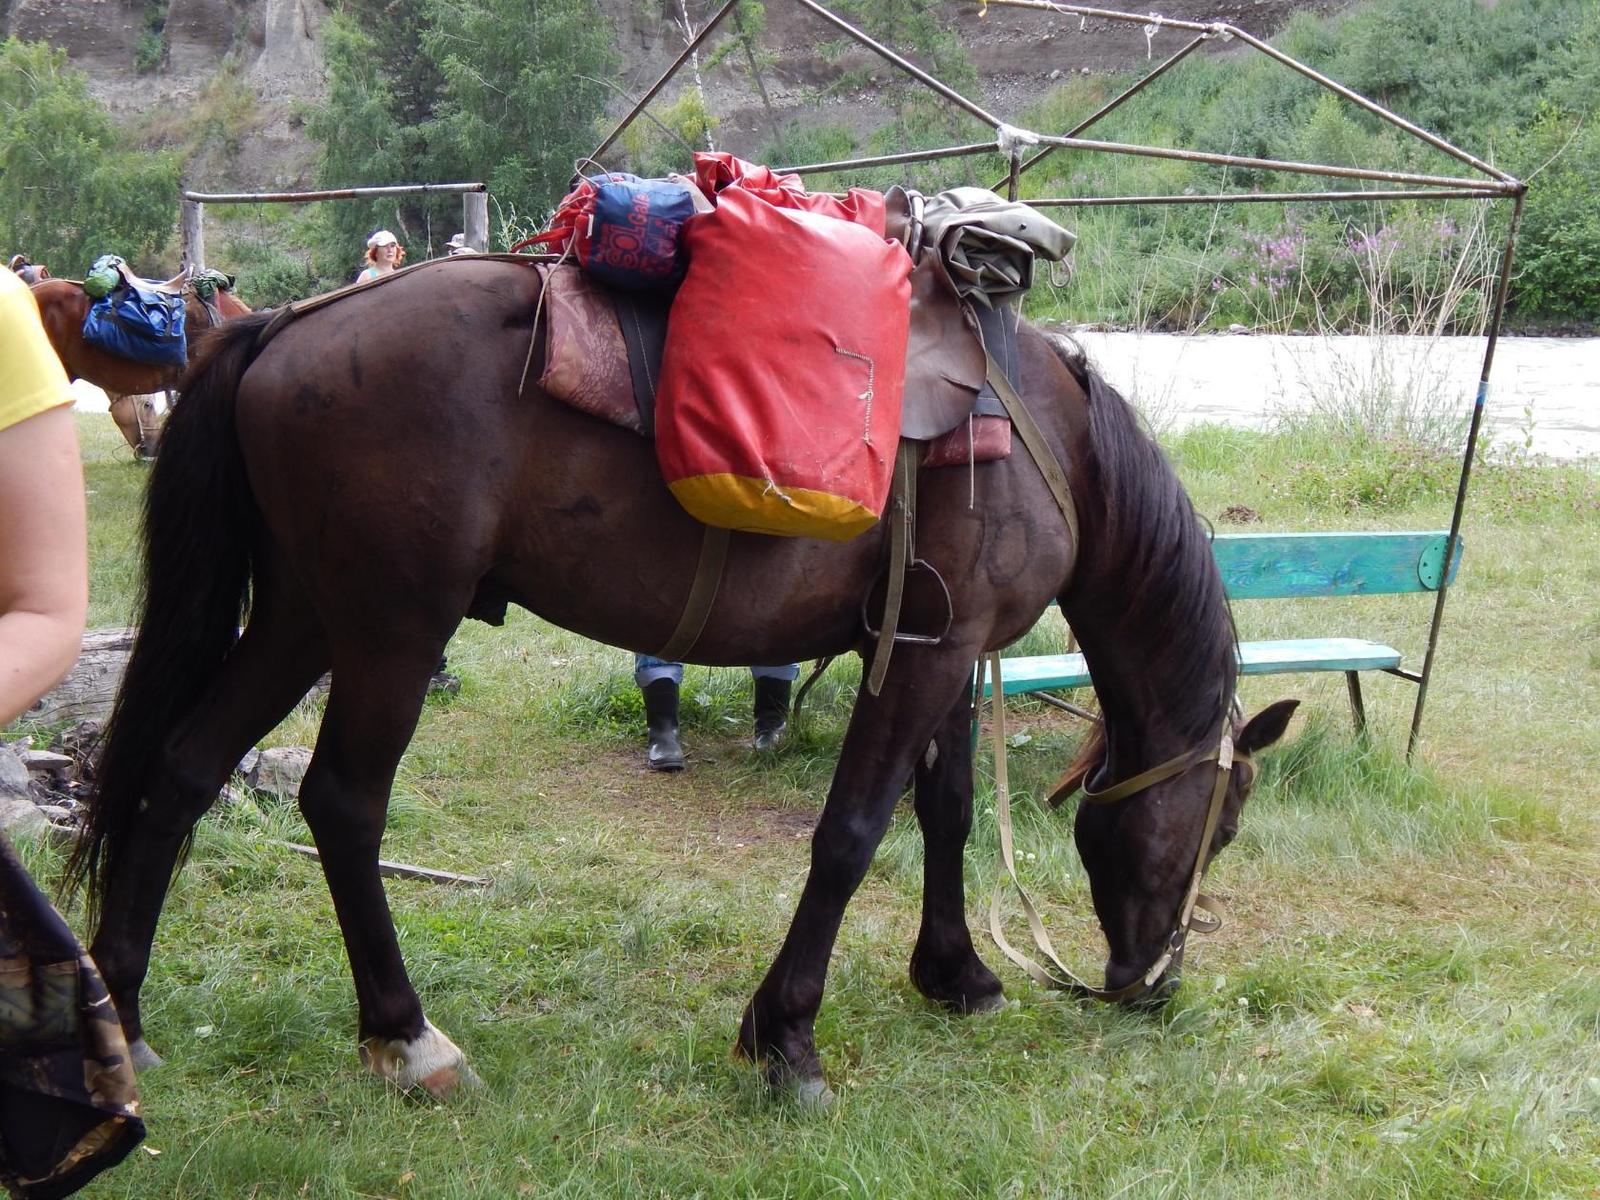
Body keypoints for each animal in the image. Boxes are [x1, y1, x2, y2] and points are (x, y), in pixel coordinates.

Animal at [72, 262, 1299, 1107]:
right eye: (1224, 825)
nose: (1152, 981)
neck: (1051, 438)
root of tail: (287, 323)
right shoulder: (922, 659)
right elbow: (852, 835)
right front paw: (786, 1039)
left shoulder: (943, 650)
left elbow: (943, 814)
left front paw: (955, 975)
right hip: (389, 629)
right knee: (341, 804)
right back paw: (408, 1035)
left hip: (301, 617)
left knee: (183, 765)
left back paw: (124, 1012)